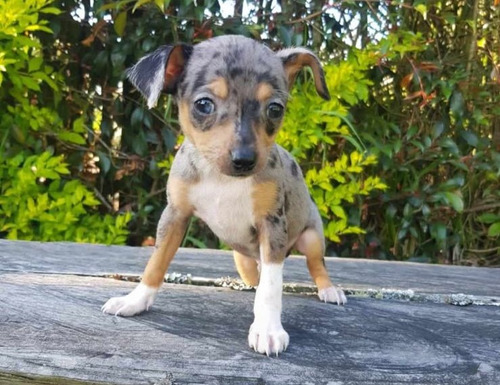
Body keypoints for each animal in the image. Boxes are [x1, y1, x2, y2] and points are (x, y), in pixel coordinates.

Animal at [103, 34, 346, 356]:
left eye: (275, 109)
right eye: (204, 104)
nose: (244, 160)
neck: (223, 179)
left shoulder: (272, 225)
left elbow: (272, 287)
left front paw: (268, 329)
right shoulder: (174, 215)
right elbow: (156, 263)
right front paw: (135, 300)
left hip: (311, 238)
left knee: (315, 264)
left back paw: (329, 288)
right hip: (242, 258)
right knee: (256, 274)